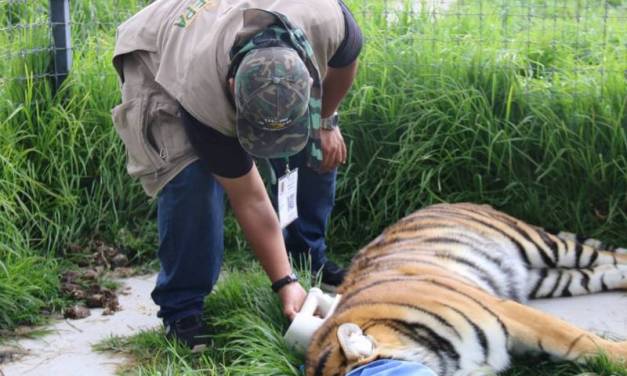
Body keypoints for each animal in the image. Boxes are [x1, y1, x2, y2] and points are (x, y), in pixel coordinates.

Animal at [306, 203, 624, 376]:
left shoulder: (507, 311)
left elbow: (578, 339)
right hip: (546, 279)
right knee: (601, 273)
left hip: (542, 246)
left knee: (609, 256)